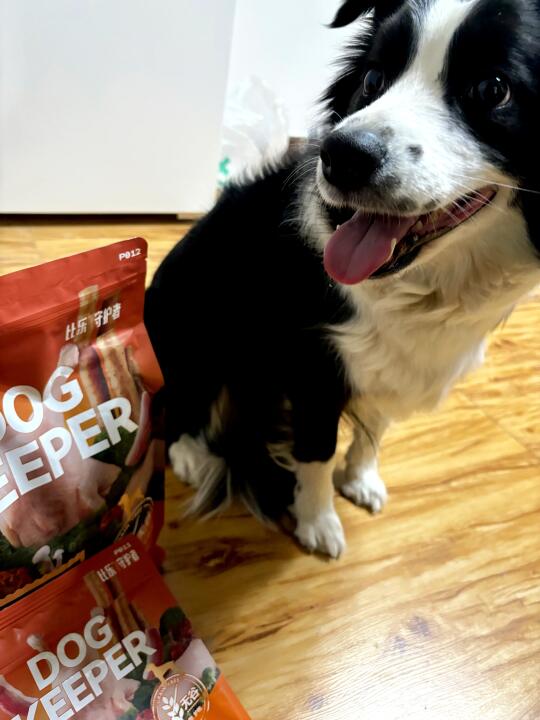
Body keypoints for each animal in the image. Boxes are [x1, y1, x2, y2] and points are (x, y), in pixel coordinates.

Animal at [145, 0, 540, 558]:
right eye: (373, 78)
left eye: (492, 89)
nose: (340, 156)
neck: (429, 284)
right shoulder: (314, 364)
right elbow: (318, 448)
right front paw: (317, 521)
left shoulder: (394, 361)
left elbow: (376, 424)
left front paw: (359, 479)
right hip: (195, 327)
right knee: (179, 401)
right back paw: (190, 455)